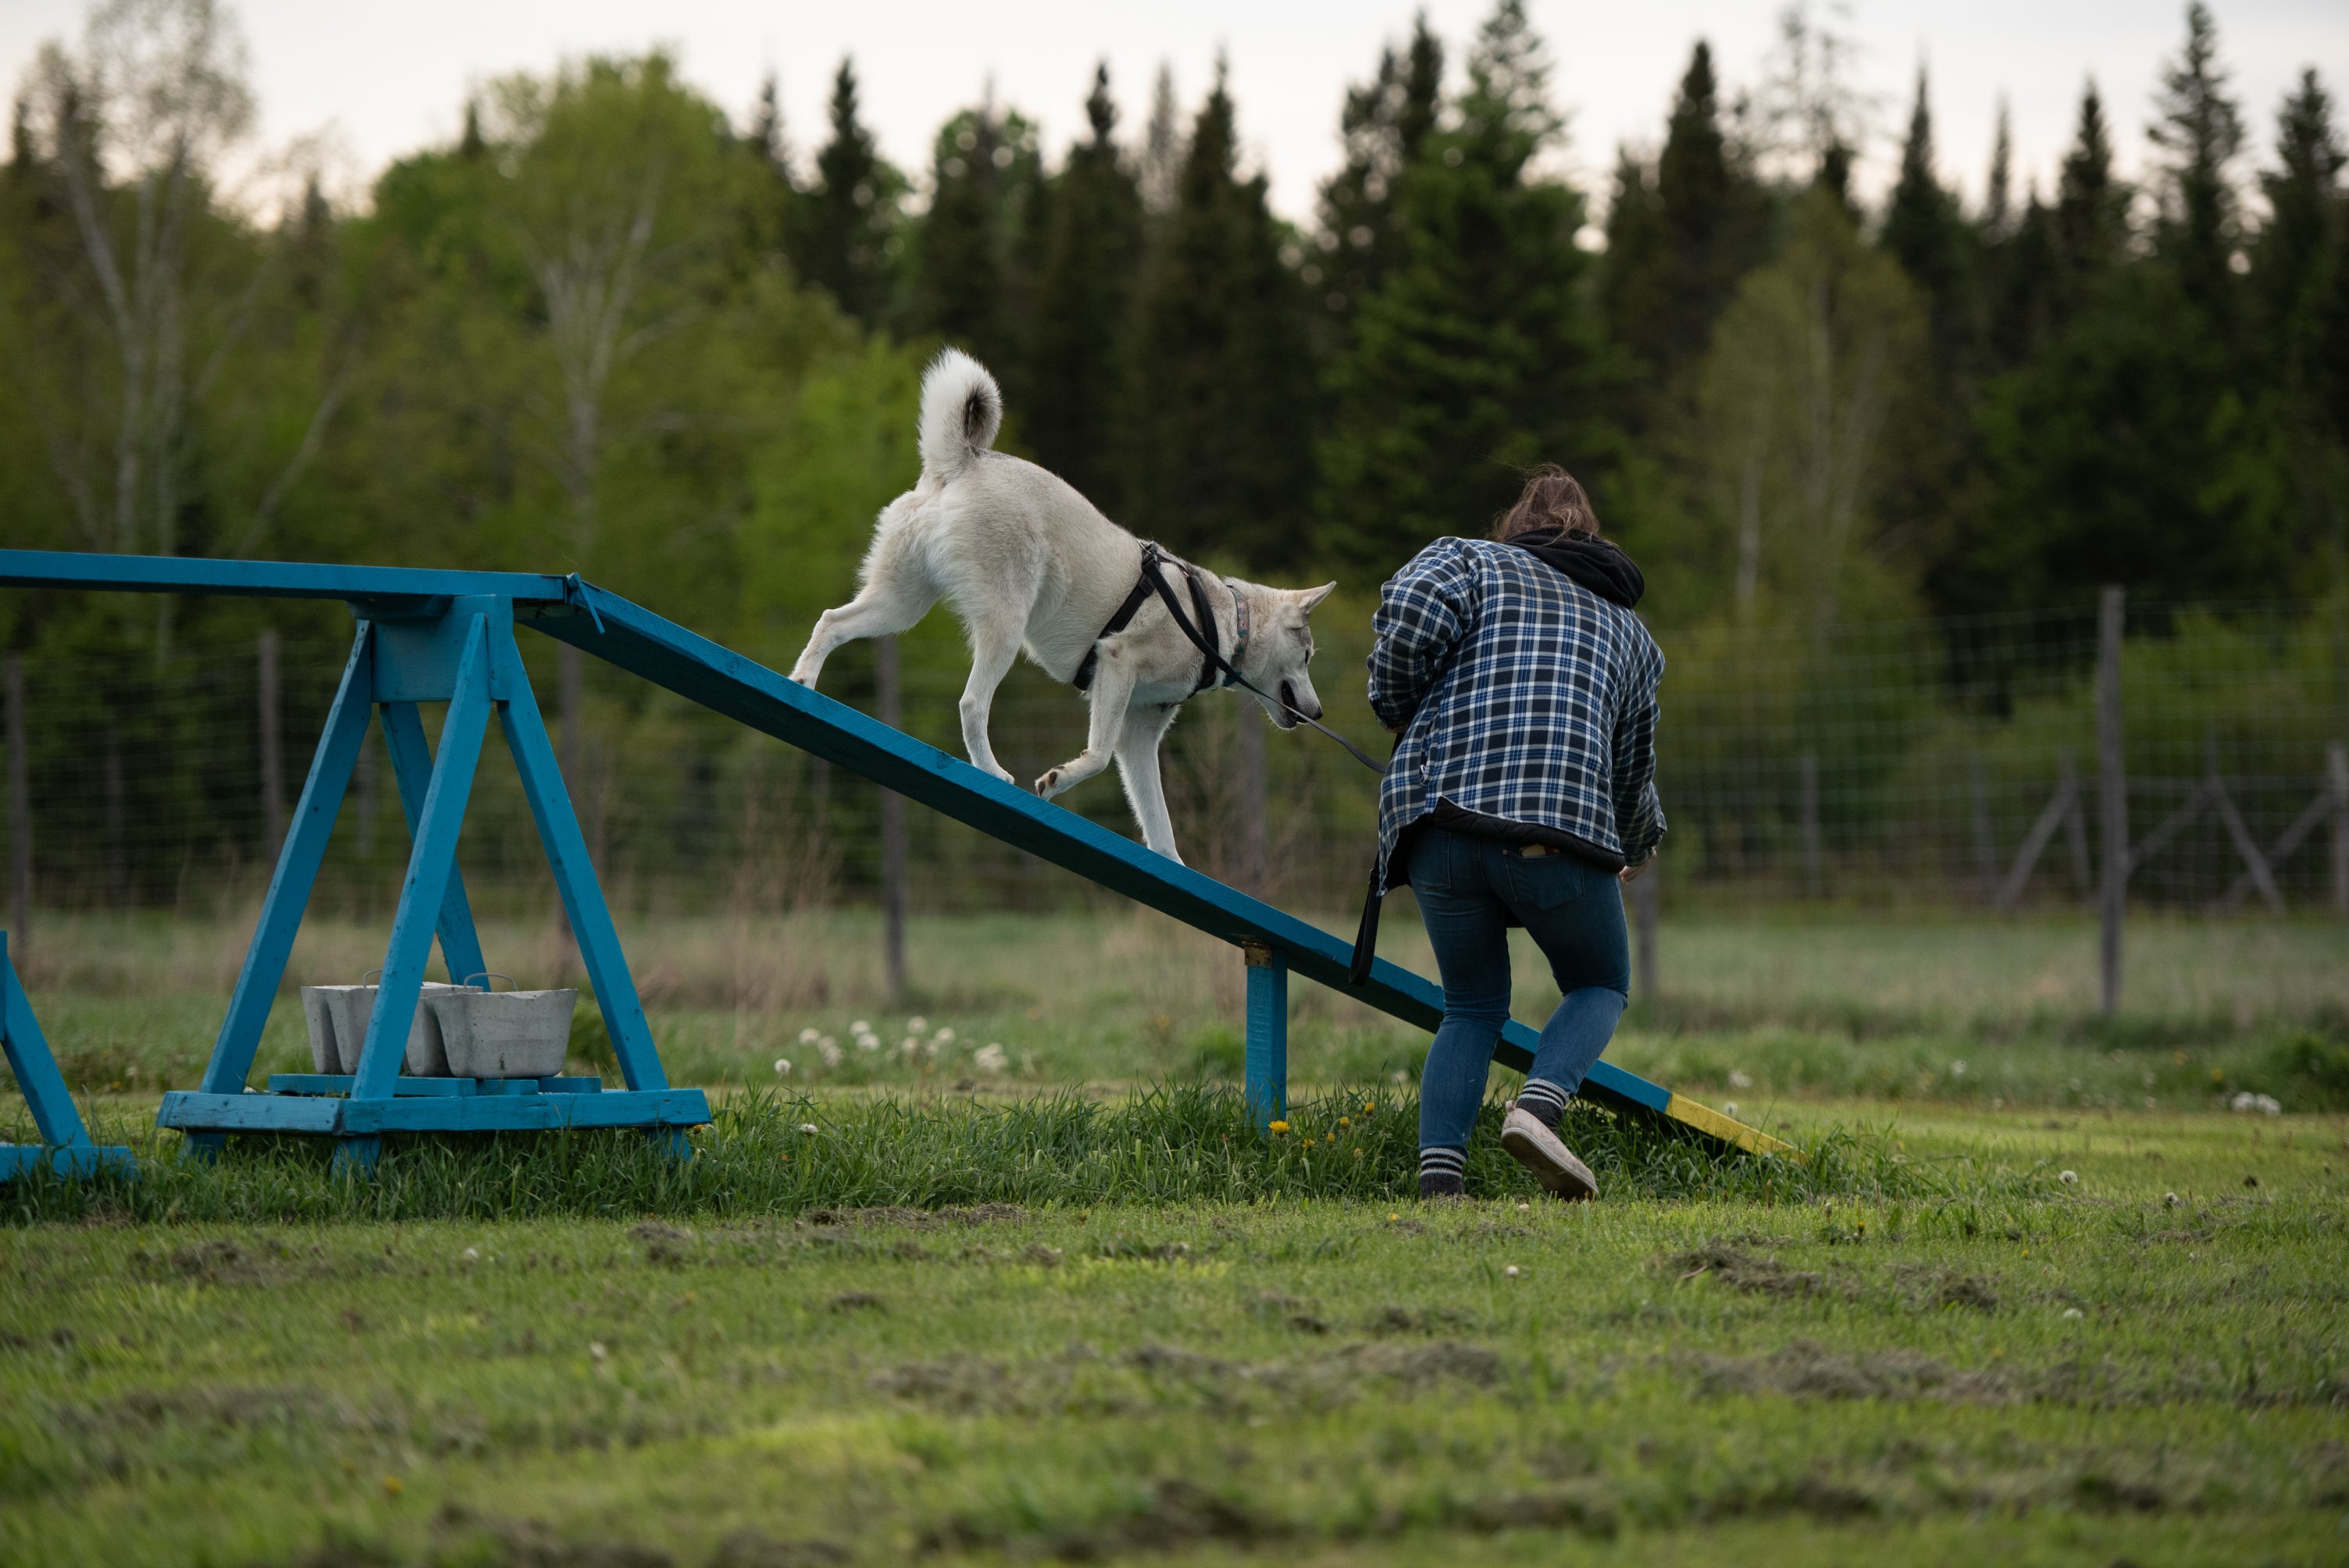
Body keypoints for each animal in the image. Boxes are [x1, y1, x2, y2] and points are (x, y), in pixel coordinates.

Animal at [789, 347, 1334, 864]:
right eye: (1308, 657)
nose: (1319, 712)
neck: (1222, 624)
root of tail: (966, 460)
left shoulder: (1140, 736)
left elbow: (1160, 827)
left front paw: (1176, 866)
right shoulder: (1117, 666)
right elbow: (1096, 756)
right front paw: (1056, 780)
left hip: (899, 607)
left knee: (831, 622)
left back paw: (803, 682)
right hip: (1004, 625)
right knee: (971, 704)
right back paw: (992, 772)